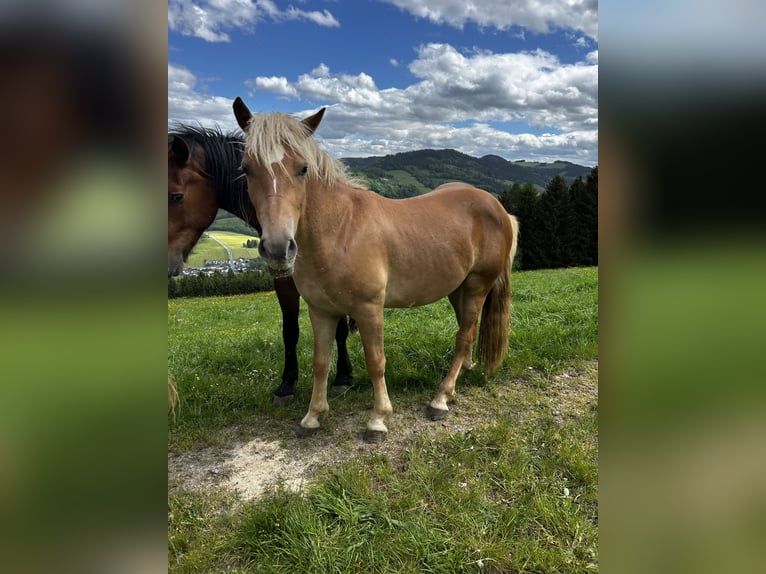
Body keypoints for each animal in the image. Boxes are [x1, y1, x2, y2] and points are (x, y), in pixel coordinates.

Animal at [170, 126, 356, 404]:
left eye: (176, 196)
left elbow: (339, 329)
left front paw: (343, 377)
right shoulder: (283, 279)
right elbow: (290, 330)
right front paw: (287, 384)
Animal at [232, 99, 520, 444]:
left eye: (302, 168)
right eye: (247, 168)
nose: (278, 248)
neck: (340, 229)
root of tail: (498, 208)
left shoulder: (369, 309)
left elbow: (375, 362)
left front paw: (378, 420)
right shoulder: (321, 311)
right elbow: (320, 362)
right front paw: (313, 416)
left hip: (478, 284)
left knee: (464, 336)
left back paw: (440, 398)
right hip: (457, 288)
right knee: (469, 329)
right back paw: (462, 373)